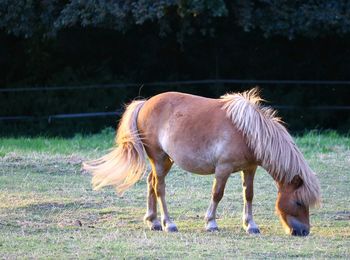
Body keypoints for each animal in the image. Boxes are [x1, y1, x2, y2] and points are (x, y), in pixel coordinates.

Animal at [83, 89, 322, 236]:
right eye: (299, 202)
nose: (303, 232)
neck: (248, 132)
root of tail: (145, 103)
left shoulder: (250, 169)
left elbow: (249, 195)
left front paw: (250, 226)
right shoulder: (223, 169)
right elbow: (217, 194)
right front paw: (211, 223)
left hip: (166, 160)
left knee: (151, 182)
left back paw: (153, 221)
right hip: (159, 158)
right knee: (159, 188)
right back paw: (169, 223)